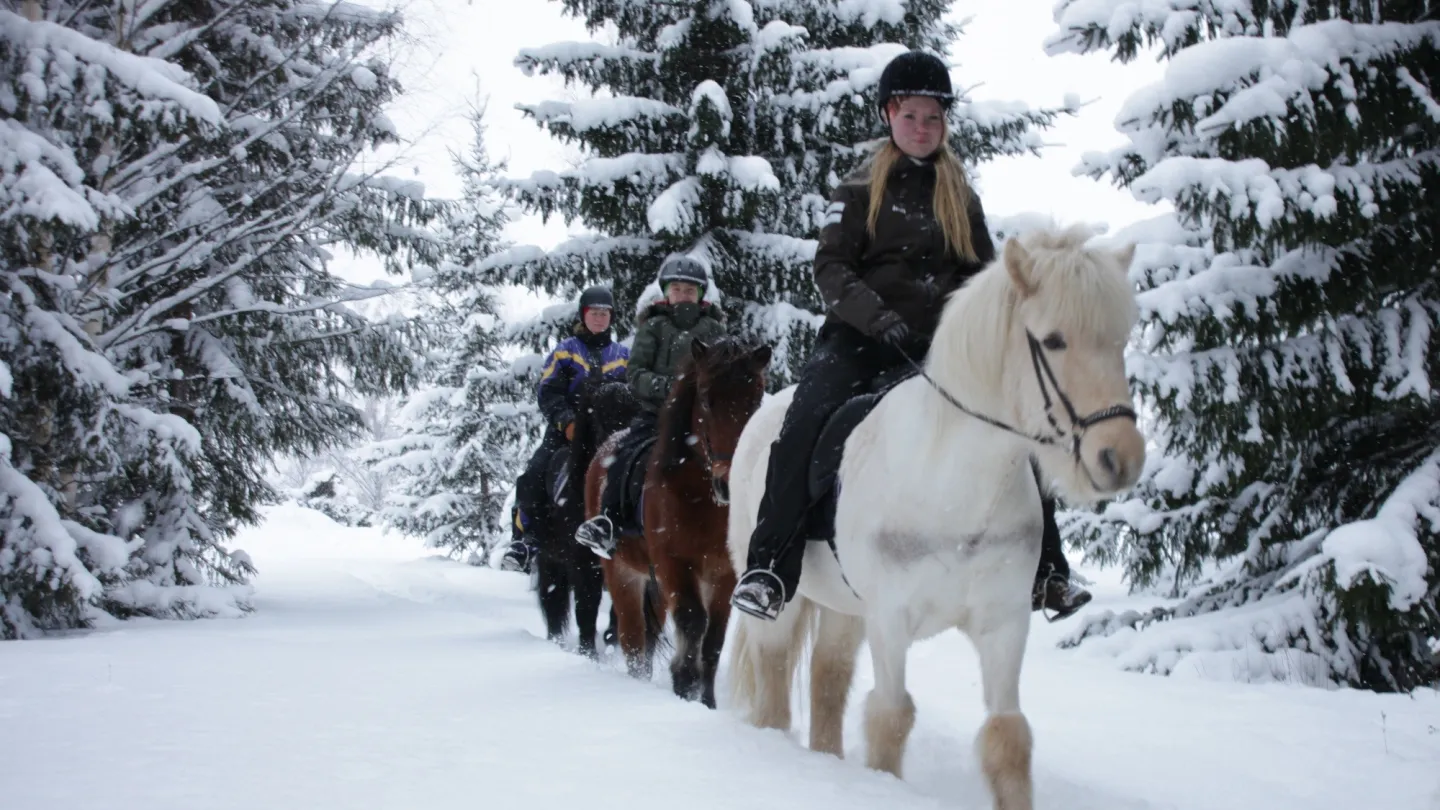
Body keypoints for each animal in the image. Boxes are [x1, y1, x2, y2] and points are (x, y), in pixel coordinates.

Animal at [532, 374, 639, 651]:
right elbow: (586, 608)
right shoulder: (583, 563)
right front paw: (588, 652)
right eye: (600, 416)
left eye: (636, 413)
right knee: (553, 600)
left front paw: (612, 639)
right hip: (549, 558)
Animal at [725, 223, 1140, 807]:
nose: (1120, 458)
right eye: (1054, 340)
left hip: (844, 609)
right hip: (781, 600)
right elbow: (890, 719)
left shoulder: (1002, 622)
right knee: (775, 678)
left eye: (1120, 340)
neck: (957, 492)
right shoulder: (891, 619)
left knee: (828, 678)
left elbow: (1008, 736)